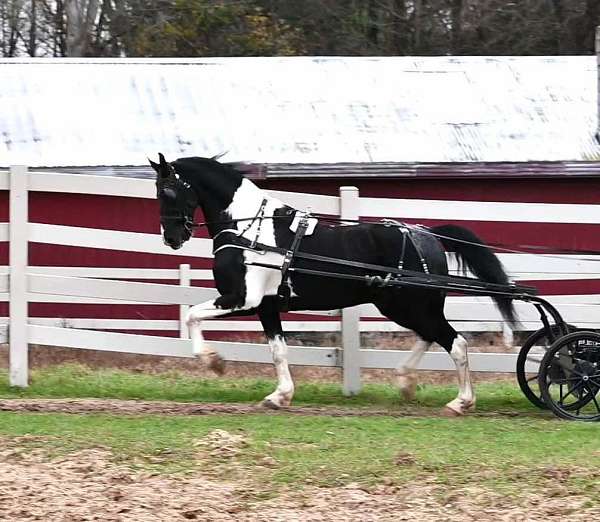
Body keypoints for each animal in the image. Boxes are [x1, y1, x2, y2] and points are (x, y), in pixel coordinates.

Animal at [150, 152, 516, 412]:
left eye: (168, 190)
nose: (172, 238)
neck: (250, 231)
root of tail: (426, 235)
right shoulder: (267, 305)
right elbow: (278, 351)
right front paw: (280, 396)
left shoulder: (242, 298)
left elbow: (191, 315)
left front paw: (213, 361)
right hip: (404, 306)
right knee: (432, 336)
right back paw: (405, 381)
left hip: (409, 305)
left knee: (456, 343)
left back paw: (460, 402)